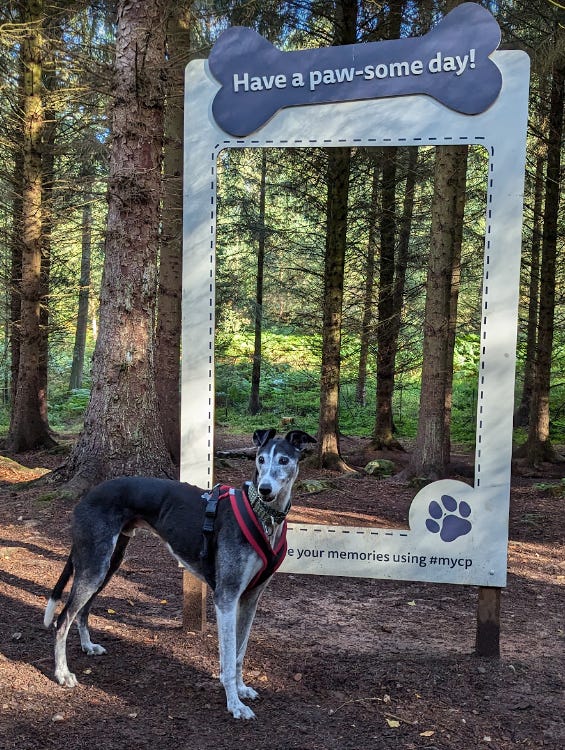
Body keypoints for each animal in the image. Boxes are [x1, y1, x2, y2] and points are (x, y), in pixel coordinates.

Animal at [44, 434, 316, 724]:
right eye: (260, 459)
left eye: (284, 460)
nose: (265, 489)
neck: (262, 515)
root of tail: (88, 495)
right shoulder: (226, 598)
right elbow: (228, 658)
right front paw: (235, 704)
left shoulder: (250, 599)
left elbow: (239, 653)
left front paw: (242, 690)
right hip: (94, 567)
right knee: (62, 620)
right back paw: (62, 674)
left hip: (106, 566)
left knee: (82, 611)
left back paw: (87, 646)